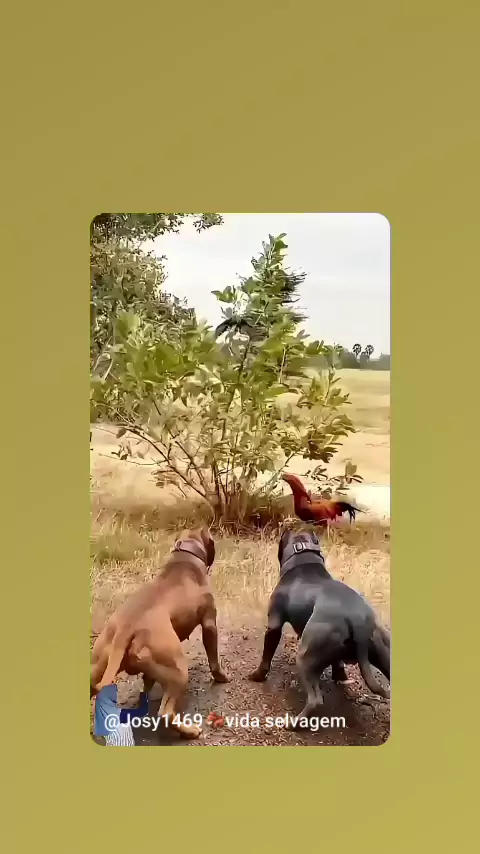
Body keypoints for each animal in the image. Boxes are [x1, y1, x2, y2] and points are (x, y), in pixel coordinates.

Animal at [91, 526, 230, 739]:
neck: (185, 556)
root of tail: (124, 629)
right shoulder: (209, 624)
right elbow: (214, 659)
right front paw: (222, 677)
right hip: (179, 669)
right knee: (165, 713)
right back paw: (189, 731)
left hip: (98, 665)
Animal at [249, 529, 390, 725]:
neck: (304, 561)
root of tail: (360, 621)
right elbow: (337, 663)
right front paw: (340, 677)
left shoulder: (274, 625)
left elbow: (266, 657)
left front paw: (257, 676)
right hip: (385, 654)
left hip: (304, 657)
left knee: (315, 700)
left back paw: (294, 723)